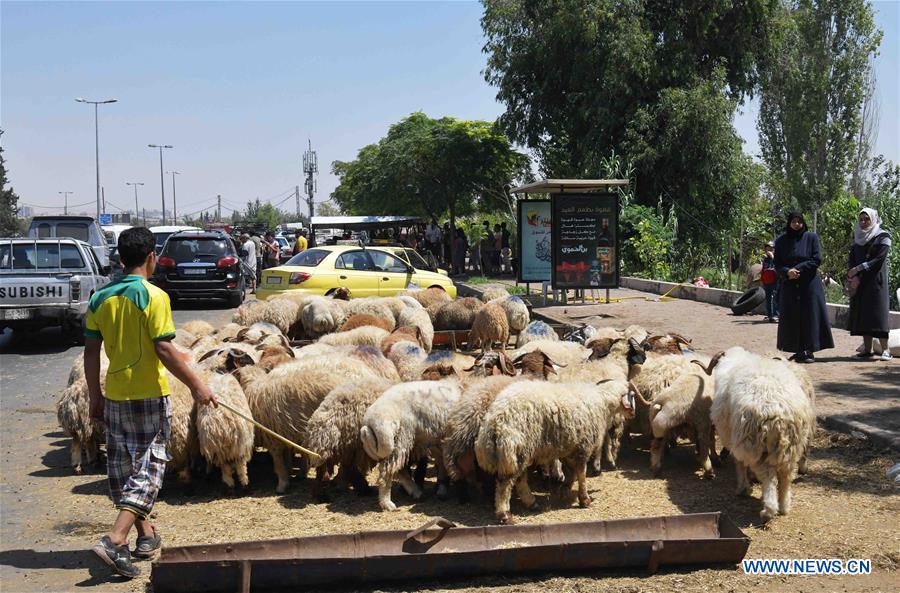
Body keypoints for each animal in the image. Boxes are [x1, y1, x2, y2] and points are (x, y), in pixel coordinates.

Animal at [234, 356, 378, 490]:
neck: (252, 387)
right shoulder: (287, 430)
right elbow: (290, 455)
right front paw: (294, 473)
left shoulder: (273, 436)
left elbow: (278, 461)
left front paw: (282, 484)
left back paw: (340, 482)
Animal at [474, 380, 636, 524]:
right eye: (631, 396)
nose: (634, 414)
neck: (602, 402)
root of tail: (495, 422)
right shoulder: (583, 447)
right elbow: (581, 474)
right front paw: (584, 500)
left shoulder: (569, 448)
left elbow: (572, 472)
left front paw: (565, 489)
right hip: (514, 450)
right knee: (505, 485)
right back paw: (505, 515)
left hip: (518, 453)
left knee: (519, 480)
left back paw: (532, 503)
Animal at [696, 346, 816, 520]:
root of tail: (779, 413)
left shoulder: (733, 437)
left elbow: (739, 463)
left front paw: (742, 487)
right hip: (792, 446)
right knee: (786, 475)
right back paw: (784, 506)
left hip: (755, 443)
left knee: (769, 477)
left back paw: (769, 510)